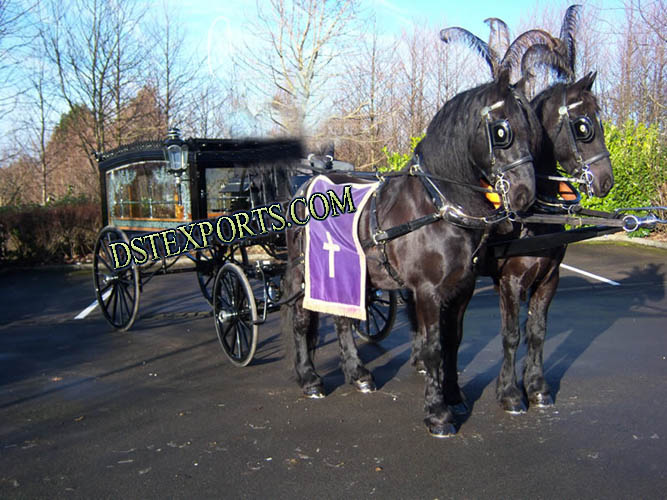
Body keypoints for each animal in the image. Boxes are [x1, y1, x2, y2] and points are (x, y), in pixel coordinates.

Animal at [280, 70, 540, 438]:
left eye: (532, 128)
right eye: (501, 131)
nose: (524, 195)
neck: (436, 206)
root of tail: (307, 184)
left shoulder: (462, 289)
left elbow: (452, 341)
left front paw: (454, 396)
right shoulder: (427, 291)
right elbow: (432, 348)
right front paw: (438, 414)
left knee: (343, 320)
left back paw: (358, 374)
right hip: (305, 270)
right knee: (302, 321)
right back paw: (310, 379)